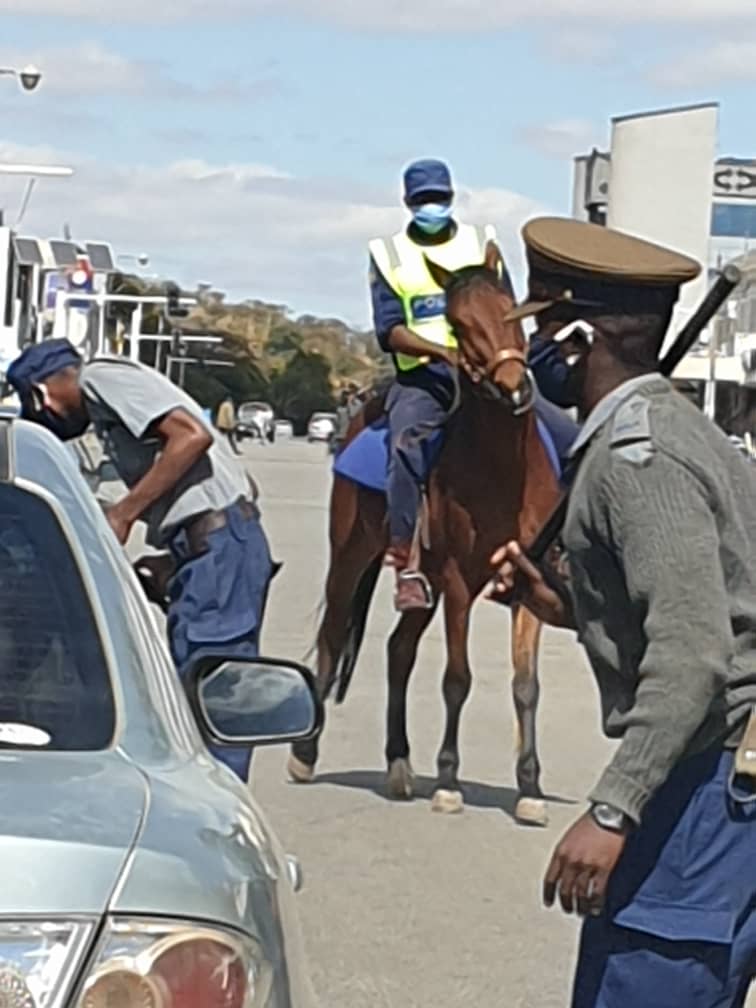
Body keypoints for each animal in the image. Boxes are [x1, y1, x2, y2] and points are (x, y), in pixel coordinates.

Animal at [288, 243, 564, 826]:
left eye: (510, 308)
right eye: (459, 324)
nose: (515, 388)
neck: (502, 469)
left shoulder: (528, 585)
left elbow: (525, 686)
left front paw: (529, 787)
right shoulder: (458, 583)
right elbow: (457, 679)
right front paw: (450, 780)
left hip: (424, 584)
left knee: (399, 650)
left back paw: (398, 762)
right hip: (351, 555)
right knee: (332, 637)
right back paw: (305, 753)